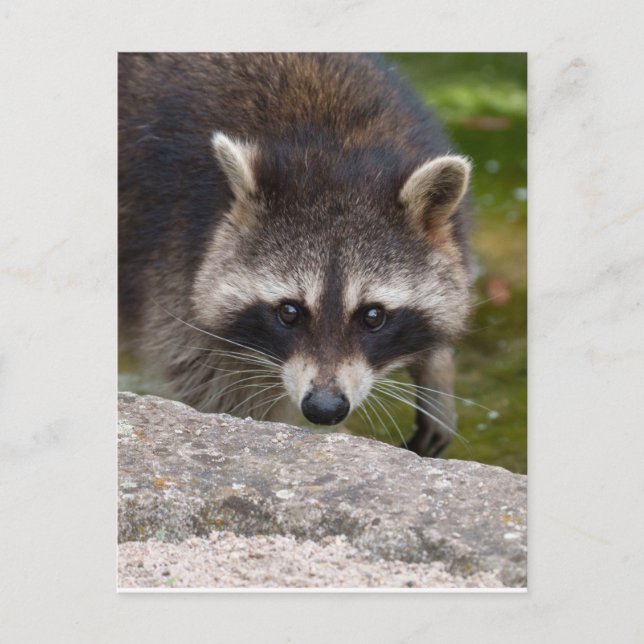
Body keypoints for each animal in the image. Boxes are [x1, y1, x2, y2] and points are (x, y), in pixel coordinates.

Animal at [119, 53, 472, 457]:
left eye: (373, 316)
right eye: (289, 312)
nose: (324, 409)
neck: (336, 147)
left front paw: (436, 366)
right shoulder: (173, 264)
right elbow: (221, 392)